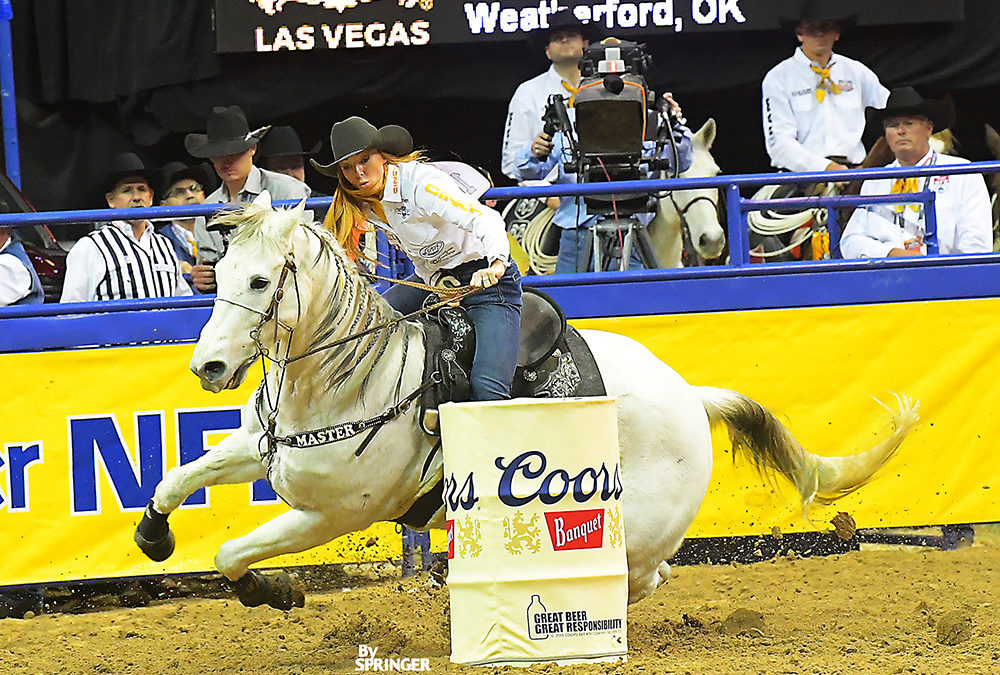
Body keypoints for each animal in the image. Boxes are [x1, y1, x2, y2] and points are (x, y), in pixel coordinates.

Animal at [135, 191, 920, 612]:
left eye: (262, 280)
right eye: (220, 273)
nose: (208, 365)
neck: (350, 383)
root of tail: (690, 397)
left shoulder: (332, 514)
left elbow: (232, 550)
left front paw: (276, 593)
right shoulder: (263, 450)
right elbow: (175, 481)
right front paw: (154, 537)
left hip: (640, 529)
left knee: (645, 576)